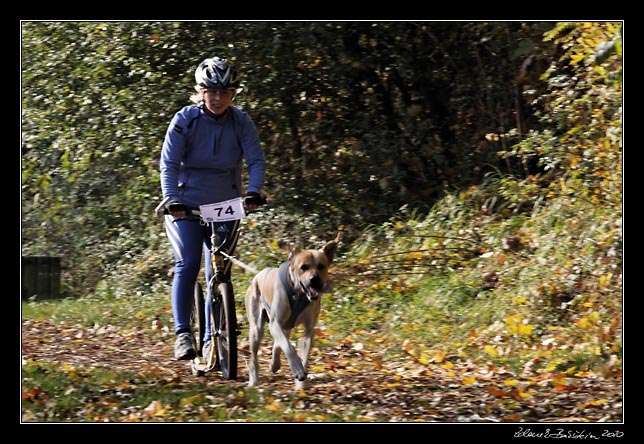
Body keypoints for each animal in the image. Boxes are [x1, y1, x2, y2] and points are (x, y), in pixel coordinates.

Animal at [244, 232, 342, 388]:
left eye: (321, 266)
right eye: (304, 267)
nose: (314, 279)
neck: (299, 294)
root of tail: (258, 275)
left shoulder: (309, 329)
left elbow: (303, 354)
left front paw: (301, 386)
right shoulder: (275, 323)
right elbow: (289, 348)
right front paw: (298, 370)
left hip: (285, 327)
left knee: (278, 344)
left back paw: (274, 364)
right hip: (256, 328)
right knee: (255, 356)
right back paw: (254, 381)